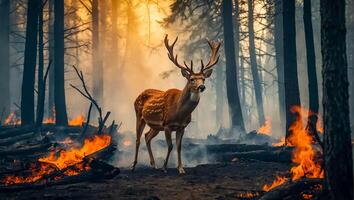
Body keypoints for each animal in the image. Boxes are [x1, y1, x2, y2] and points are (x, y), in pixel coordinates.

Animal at [132, 34, 221, 173]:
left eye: (203, 79)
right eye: (192, 79)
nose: (202, 87)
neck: (179, 113)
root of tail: (138, 95)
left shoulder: (182, 127)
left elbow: (179, 146)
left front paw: (180, 168)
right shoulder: (167, 125)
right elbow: (170, 146)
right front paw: (165, 167)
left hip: (155, 126)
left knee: (147, 136)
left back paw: (154, 164)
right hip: (139, 116)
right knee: (137, 139)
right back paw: (134, 165)